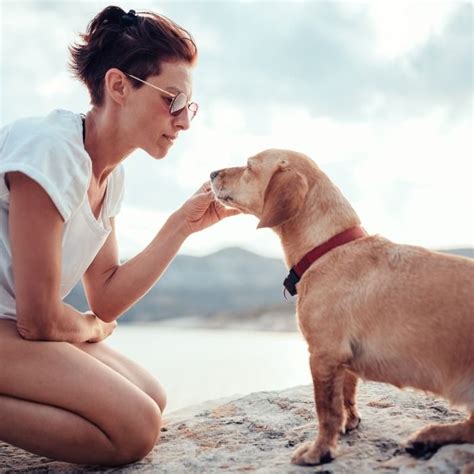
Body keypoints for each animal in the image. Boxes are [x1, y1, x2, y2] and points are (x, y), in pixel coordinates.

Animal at [210, 150, 474, 464]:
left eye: (249, 167)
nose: (212, 173)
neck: (327, 247)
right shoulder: (341, 360)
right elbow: (346, 396)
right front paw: (350, 423)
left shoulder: (323, 354)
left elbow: (326, 412)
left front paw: (318, 451)